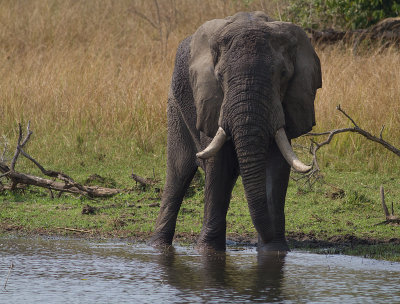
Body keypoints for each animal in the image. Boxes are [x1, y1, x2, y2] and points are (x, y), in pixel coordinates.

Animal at [150, 11, 322, 252]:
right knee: (178, 173)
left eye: (283, 75)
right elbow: (217, 165)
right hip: (174, 104)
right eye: (220, 76)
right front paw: (208, 251)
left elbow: (277, 165)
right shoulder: (210, 101)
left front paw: (274, 250)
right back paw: (158, 246)